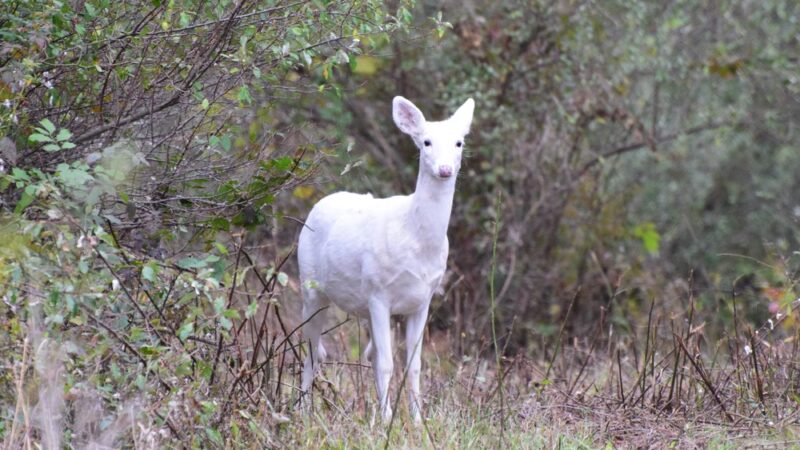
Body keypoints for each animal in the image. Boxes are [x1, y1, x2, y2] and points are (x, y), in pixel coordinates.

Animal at [297, 96, 475, 422]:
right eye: (426, 141)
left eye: (459, 142)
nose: (445, 169)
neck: (416, 238)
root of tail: (321, 201)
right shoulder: (379, 293)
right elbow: (387, 364)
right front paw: (386, 420)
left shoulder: (423, 300)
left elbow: (413, 365)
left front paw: (417, 421)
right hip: (310, 286)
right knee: (313, 350)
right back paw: (302, 411)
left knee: (366, 354)